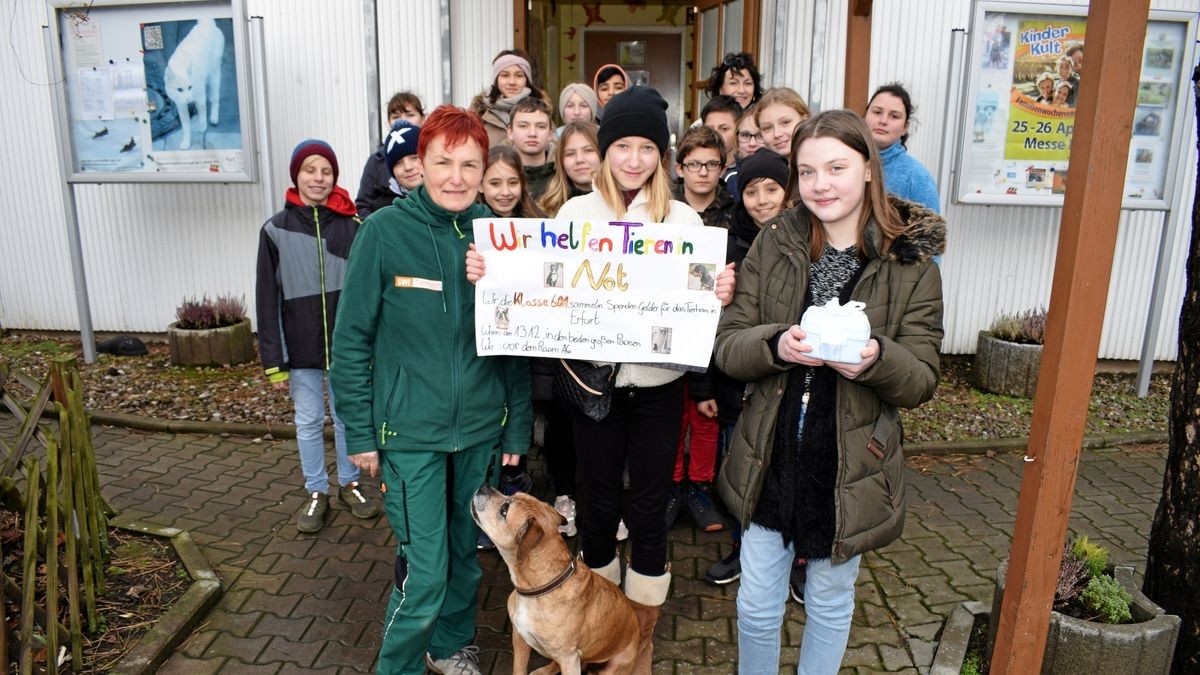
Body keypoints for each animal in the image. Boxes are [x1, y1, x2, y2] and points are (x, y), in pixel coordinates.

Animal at [468, 482, 643, 672]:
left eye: (504, 510)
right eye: (510, 495)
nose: (484, 486)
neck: (537, 588)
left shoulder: (569, 658)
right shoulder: (520, 639)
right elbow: (519, 669)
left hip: (614, 664)